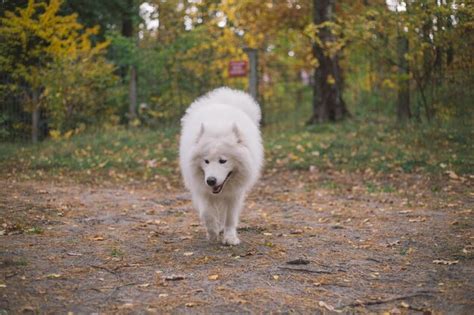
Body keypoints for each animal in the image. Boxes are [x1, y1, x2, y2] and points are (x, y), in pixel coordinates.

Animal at [181, 87, 264, 246]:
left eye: (223, 161)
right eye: (206, 161)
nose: (211, 181)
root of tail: (223, 101)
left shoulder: (235, 194)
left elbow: (230, 218)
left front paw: (230, 238)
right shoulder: (201, 190)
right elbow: (207, 213)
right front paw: (212, 232)